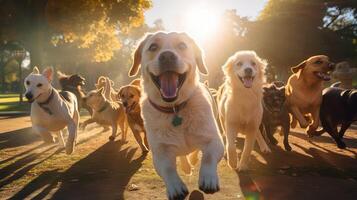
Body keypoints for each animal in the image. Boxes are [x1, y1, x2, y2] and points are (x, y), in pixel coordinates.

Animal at [128, 32, 222, 199]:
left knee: (195, 152)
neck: (174, 110)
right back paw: (186, 166)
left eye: (182, 45)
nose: (167, 56)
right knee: (183, 155)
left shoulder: (215, 140)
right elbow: (168, 168)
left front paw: (208, 178)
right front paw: (175, 186)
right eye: (153, 47)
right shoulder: (160, 152)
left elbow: (208, 157)